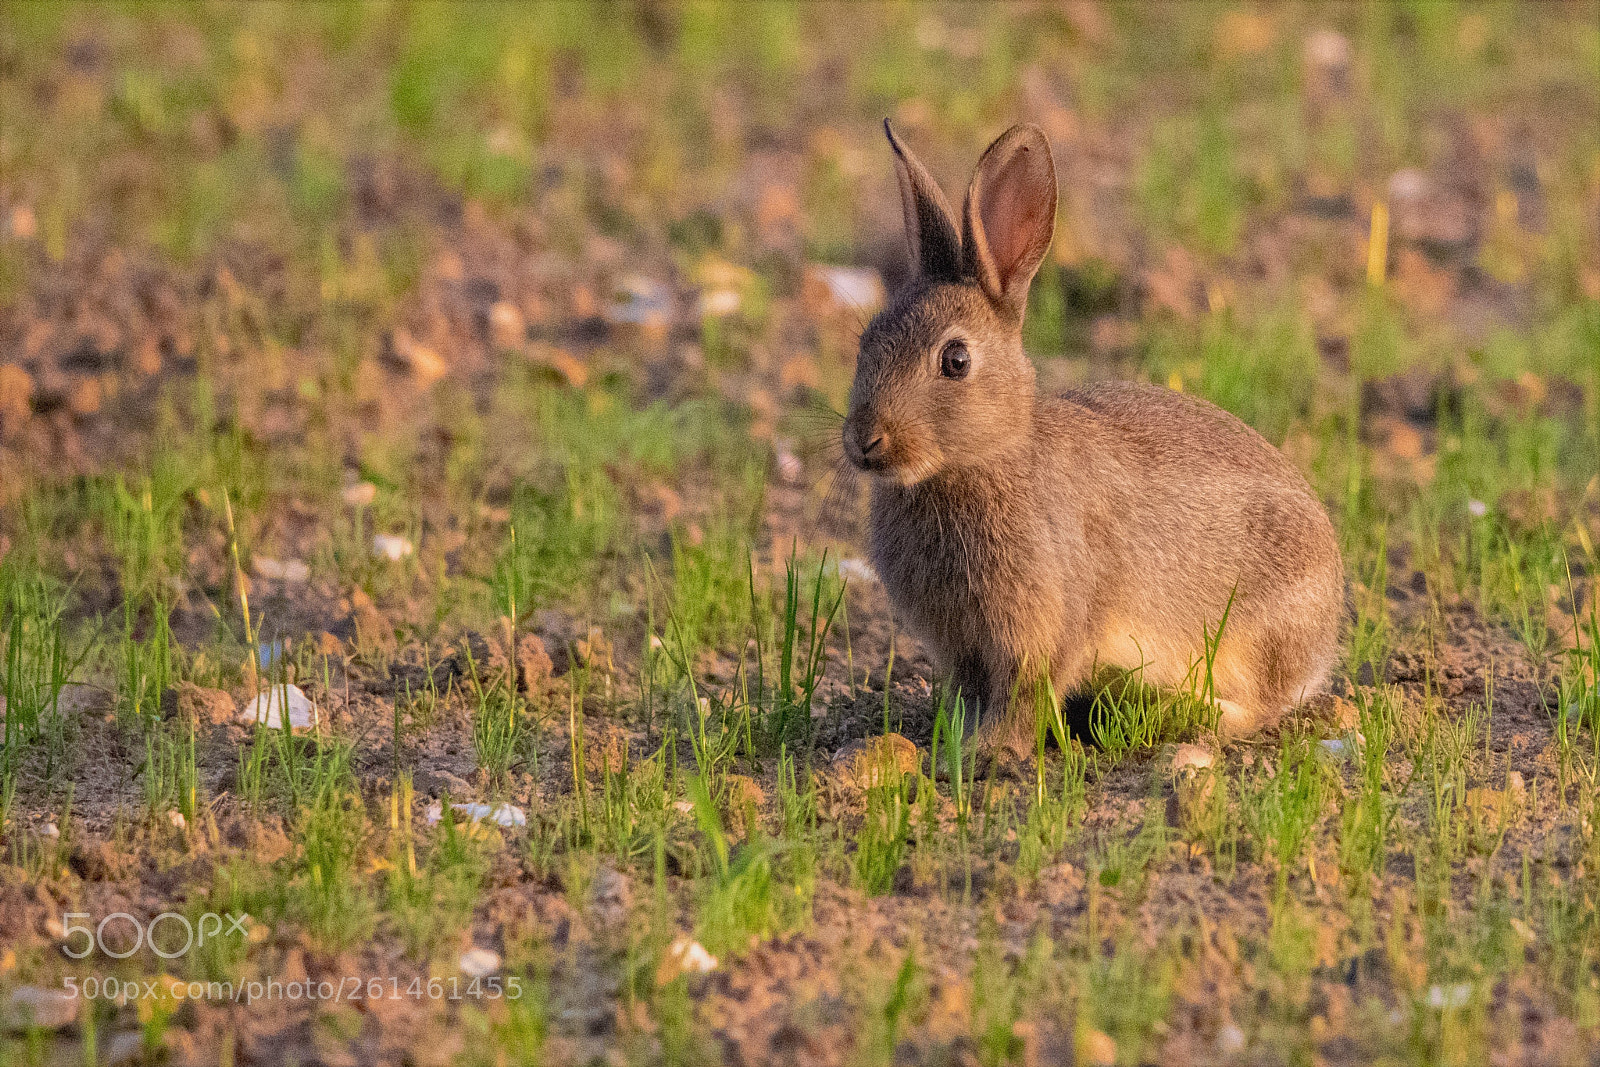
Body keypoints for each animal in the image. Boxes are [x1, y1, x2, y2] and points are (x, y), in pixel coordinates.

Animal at [842, 121, 1344, 758]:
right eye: (866, 342)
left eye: (955, 360)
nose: (864, 440)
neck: (981, 461)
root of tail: (1329, 619)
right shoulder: (961, 649)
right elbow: (971, 695)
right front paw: (951, 745)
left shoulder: (1045, 626)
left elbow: (1027, 696)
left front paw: (990, 753)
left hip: (1259, 633)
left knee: (1259, 707)